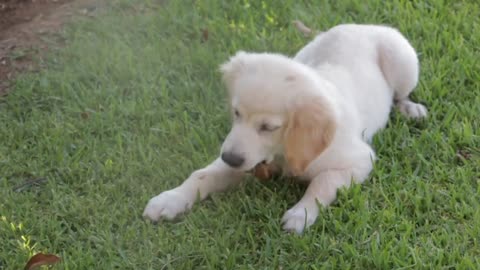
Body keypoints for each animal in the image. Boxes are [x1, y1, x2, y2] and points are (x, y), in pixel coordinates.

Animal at [143, 23, 428, 234]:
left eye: (268, 127)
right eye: (236, 113)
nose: (229, 158)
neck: (283, 152)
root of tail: (361, 25)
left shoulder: (358, 160)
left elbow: (323, 182)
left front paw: (301, 213)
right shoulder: (246, 157)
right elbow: (202, 174)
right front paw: (170, 199)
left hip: (403, 62)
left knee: (401, 95)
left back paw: (411, 109)